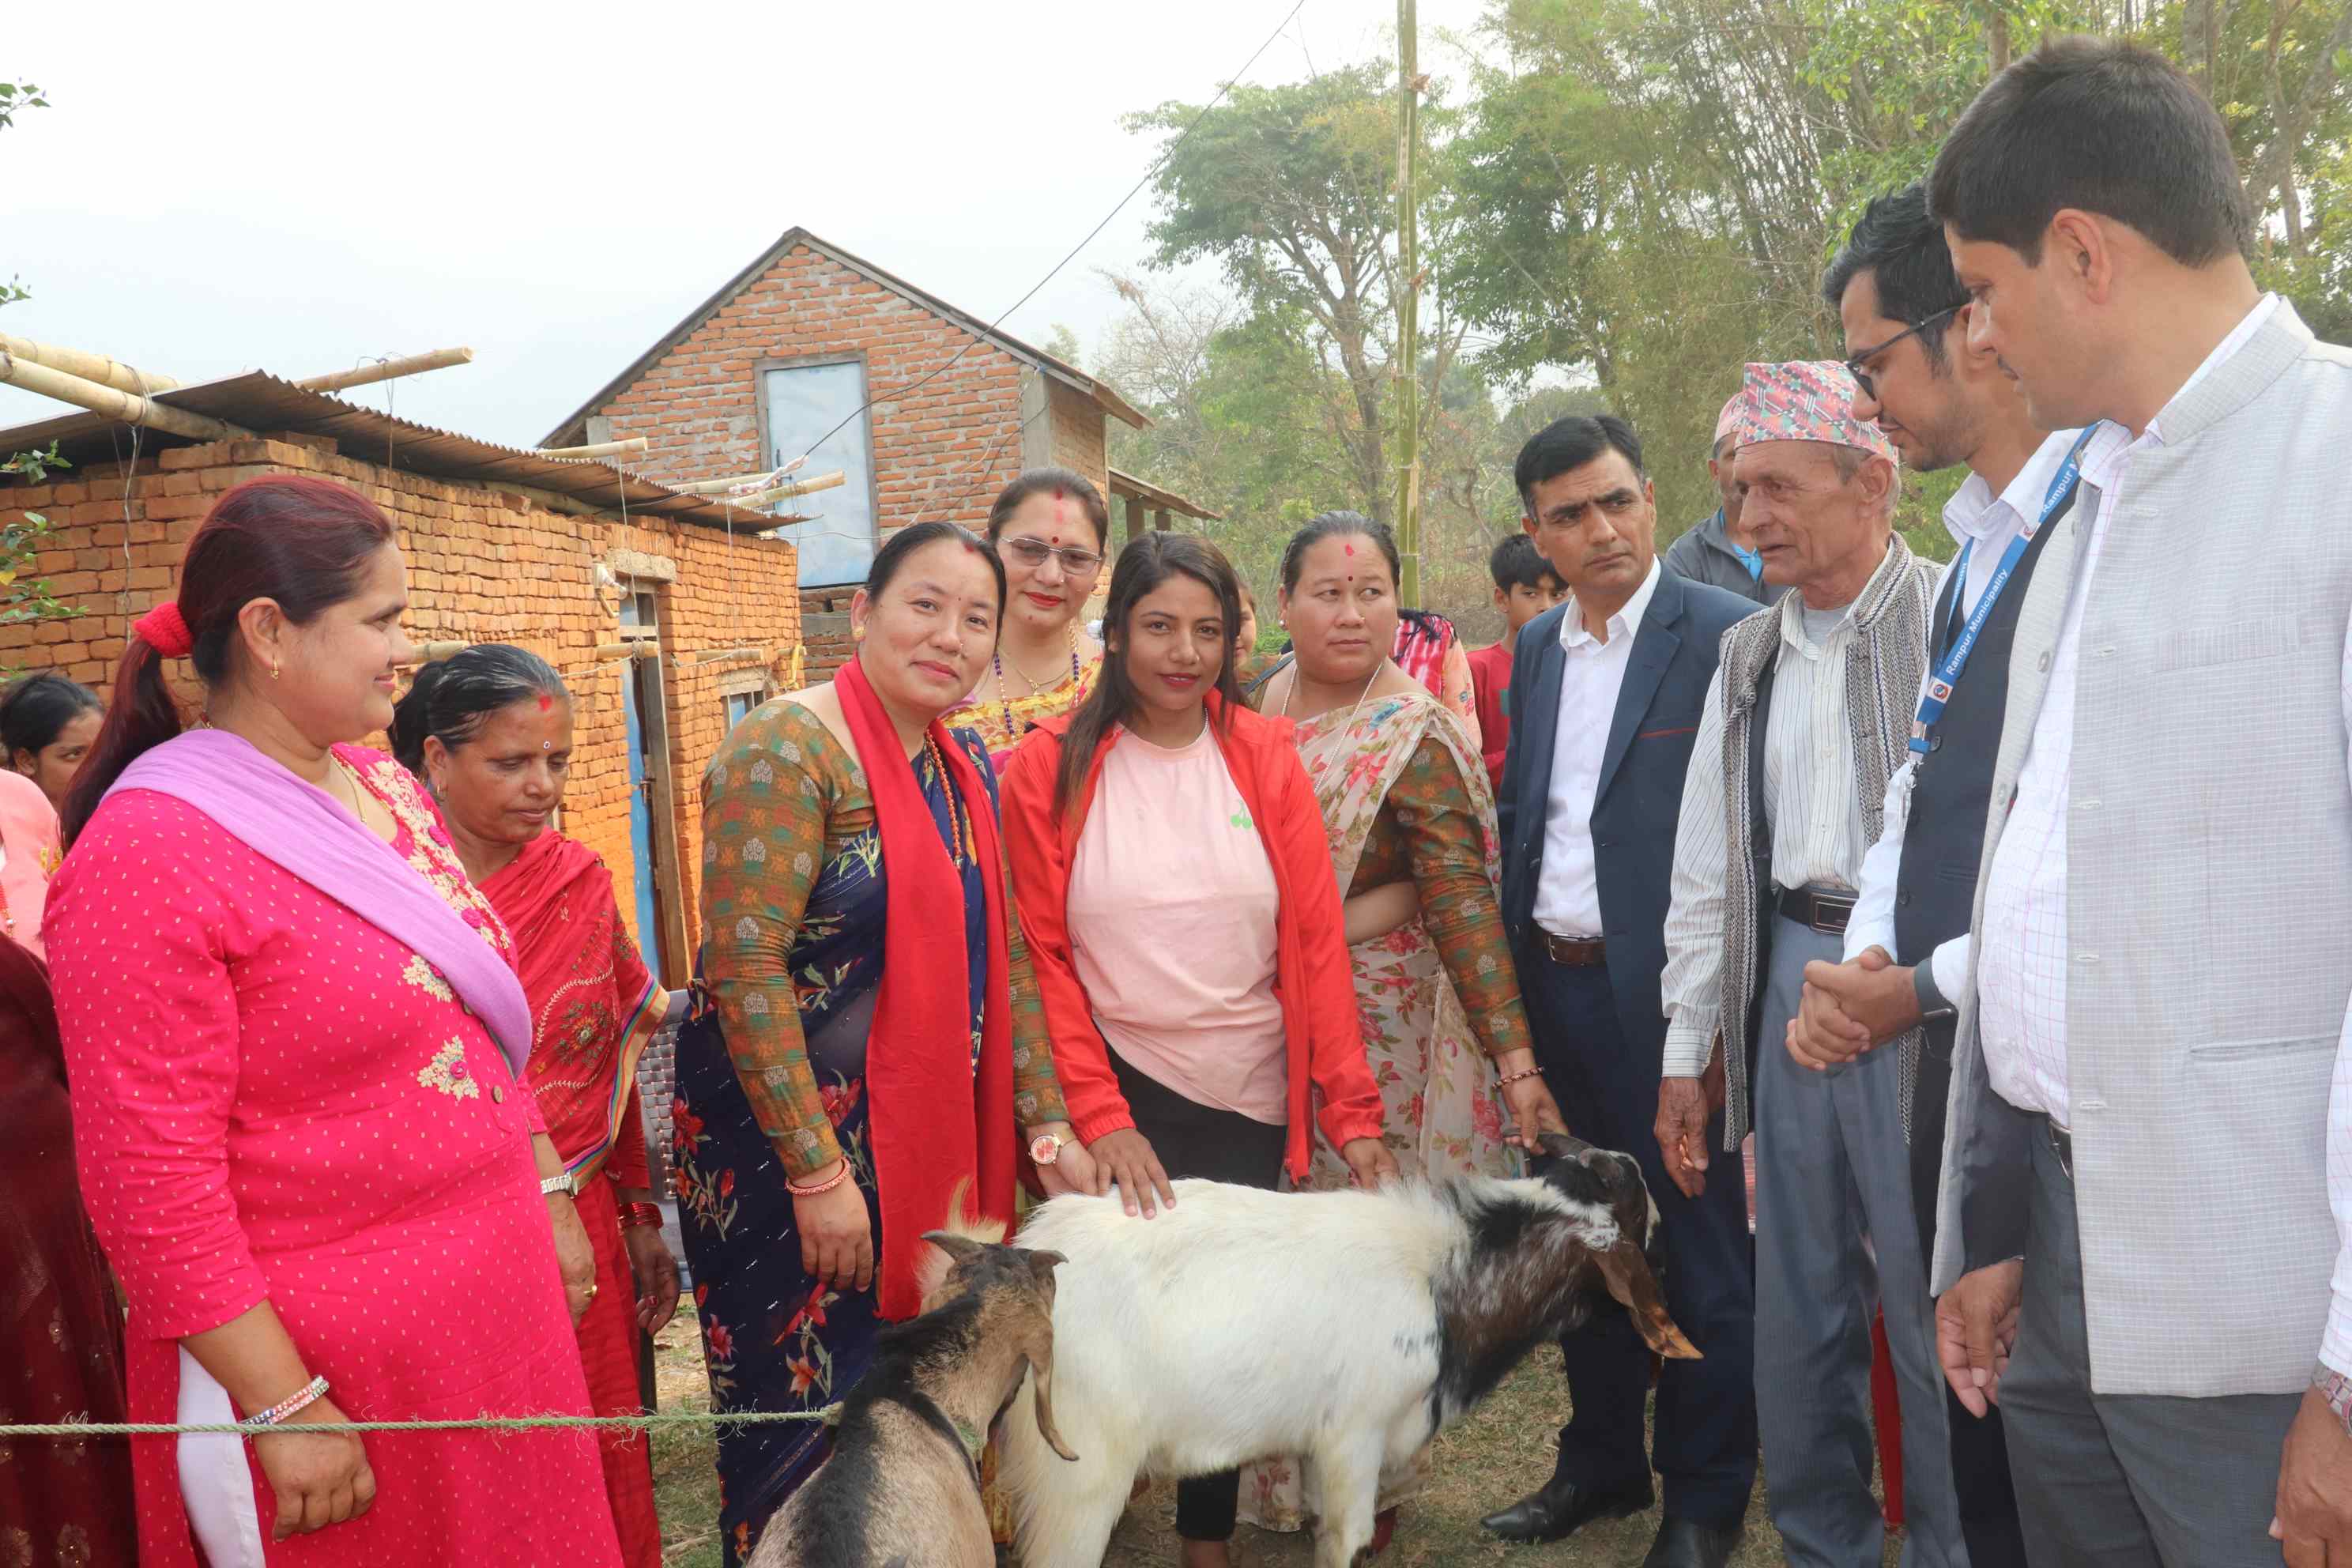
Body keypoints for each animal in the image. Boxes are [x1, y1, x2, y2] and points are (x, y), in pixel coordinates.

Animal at [992, 1128, 1693, 1568]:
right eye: (1646, 1226)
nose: (1671, 1269)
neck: (1442, 1273)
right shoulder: (1356, 1436)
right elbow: (1347, 1541)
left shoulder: (1317, 1448)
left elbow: (1325, 1533)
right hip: (1079, 1473)